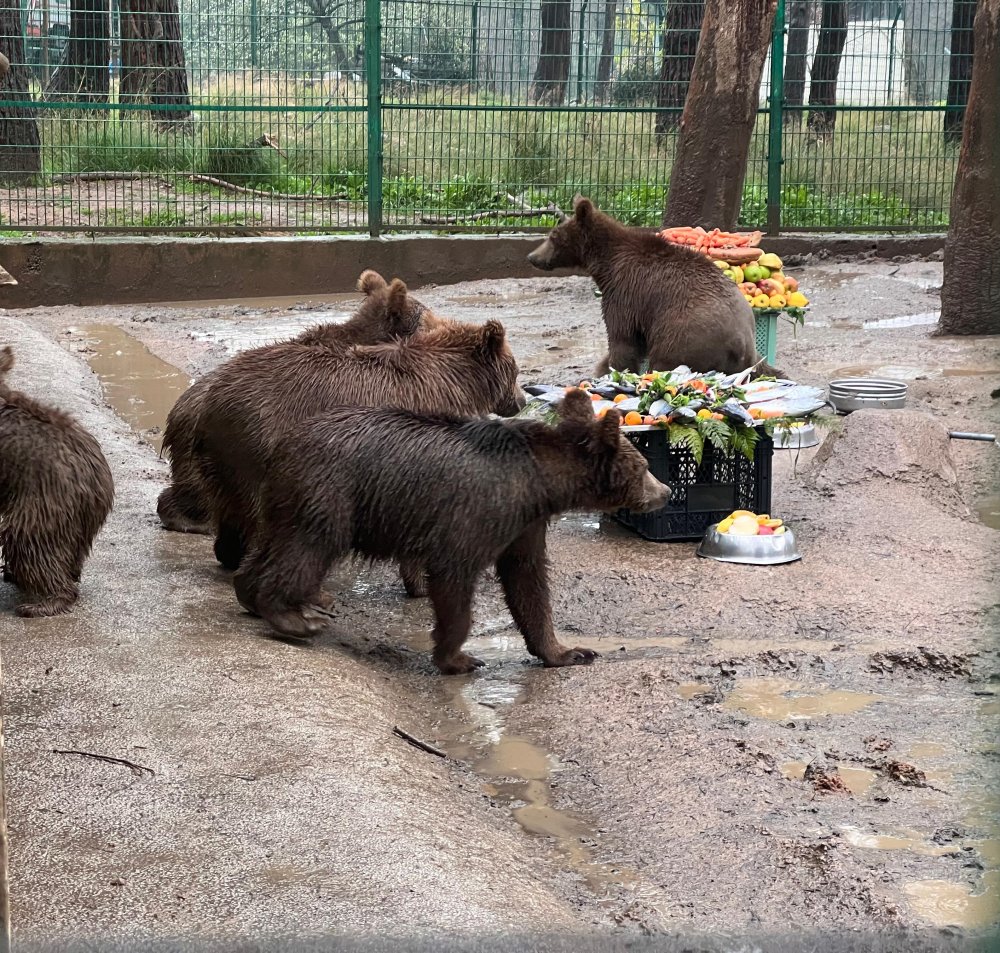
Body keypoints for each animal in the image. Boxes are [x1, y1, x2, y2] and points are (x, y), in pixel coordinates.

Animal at [234, 388, 672, 676]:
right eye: (644, 466)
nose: (666, 491)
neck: (539, 481)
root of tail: (284, 444)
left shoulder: (525, 522)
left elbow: (527, 580)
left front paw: (568, 651)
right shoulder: (475, 512)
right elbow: (456, 578)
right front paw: (459, 657)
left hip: (288, 499)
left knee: (274, 545)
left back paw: (250, 593)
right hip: (331, 493)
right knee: (308, 548)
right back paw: (292, 615)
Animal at [524, 197, 780, 380]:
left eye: (553, 237)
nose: (531, 257)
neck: (605, 264)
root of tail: (741, 343)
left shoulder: (626, 293)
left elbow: (622, 339)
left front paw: (612, 369)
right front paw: (602, 368)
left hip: (683, 336)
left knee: (663, 361)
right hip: (748, 350)